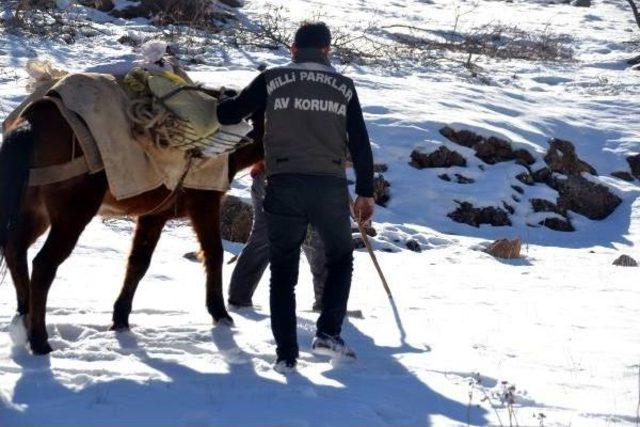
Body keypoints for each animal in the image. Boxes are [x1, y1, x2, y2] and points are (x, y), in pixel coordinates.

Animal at [0, 96, 262, 354]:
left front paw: (120, 318)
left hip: (36, 214)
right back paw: (39, 340)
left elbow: (138, 263)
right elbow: (214, 253)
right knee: (43, 266)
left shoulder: (154, 216)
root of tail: (32, 121)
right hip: (71, 217)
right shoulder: (204, 203)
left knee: (15, 252)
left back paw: (24, 319)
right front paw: (220, 313)